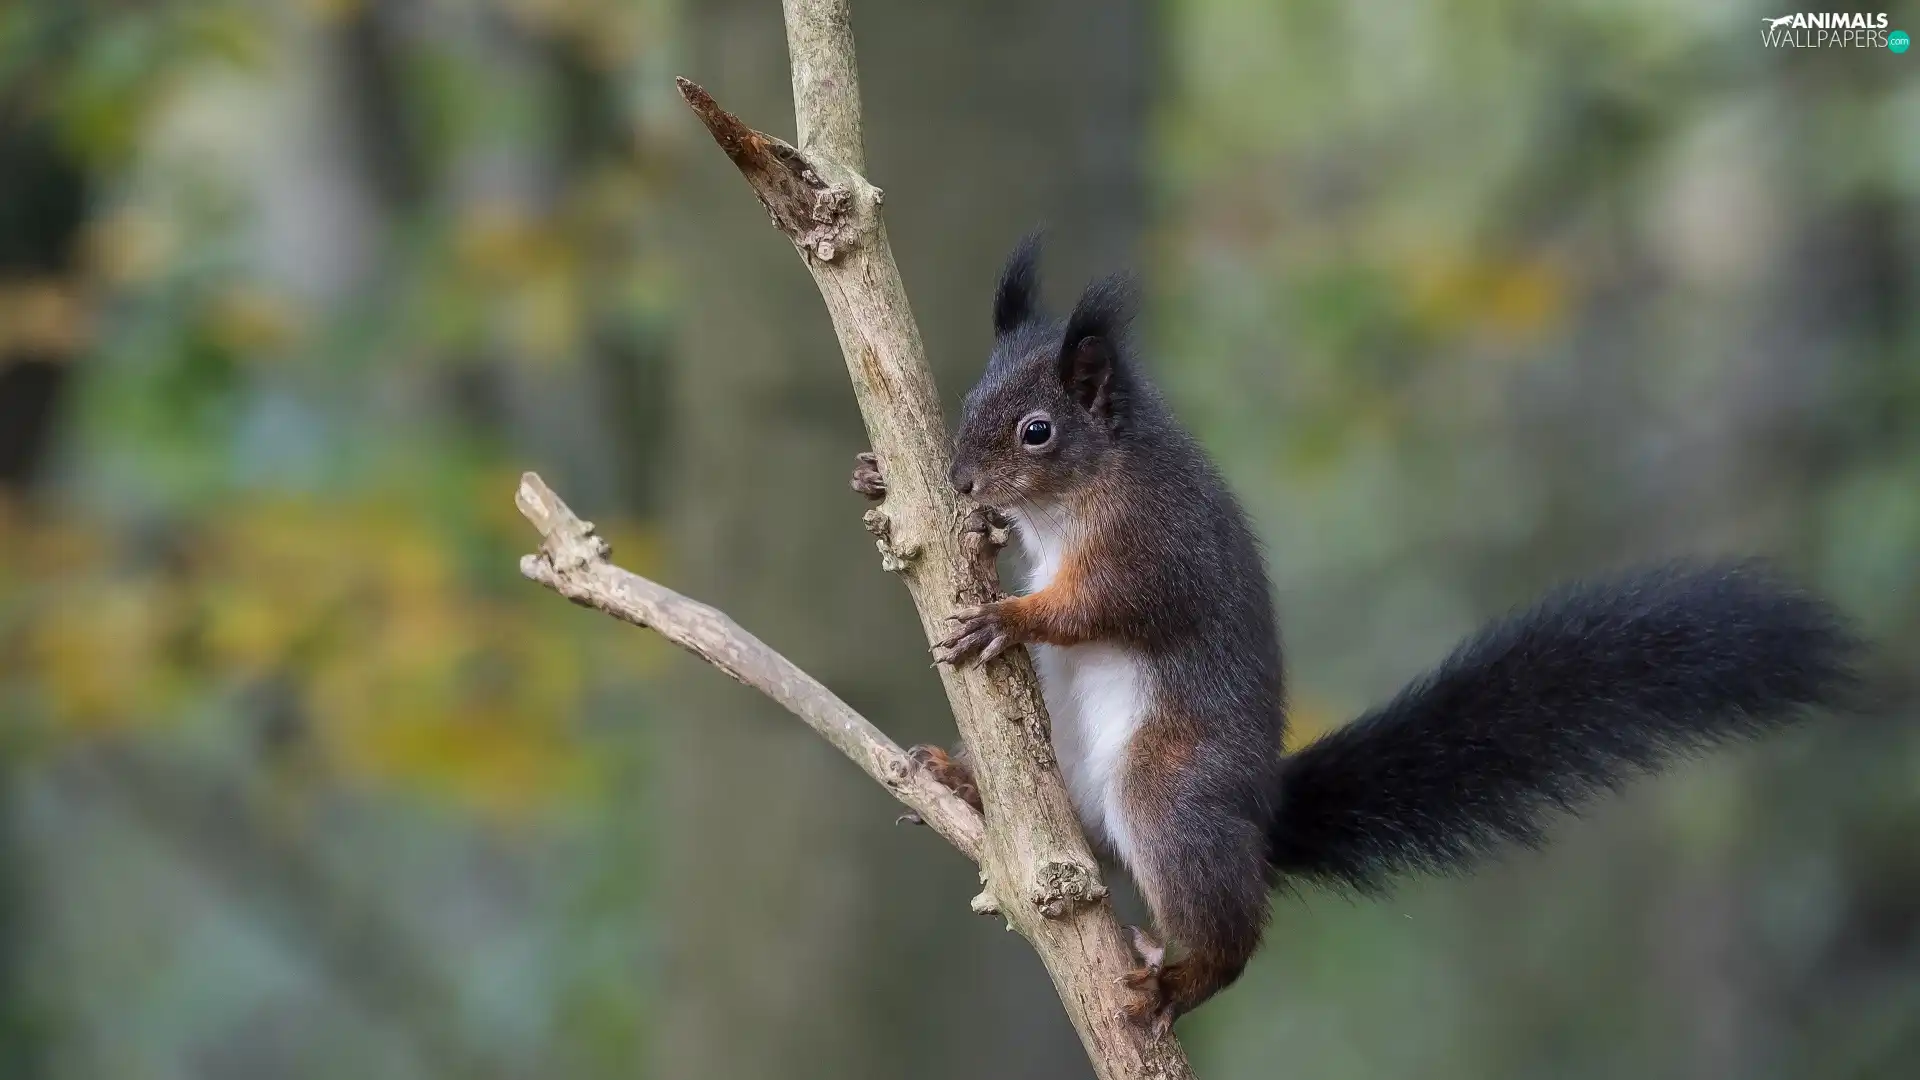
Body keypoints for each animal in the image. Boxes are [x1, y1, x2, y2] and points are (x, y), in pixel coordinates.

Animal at [844, 235, 1858, 1037]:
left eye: (1037, 431)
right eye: (968, 397)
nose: (959, 480)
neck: (1086, 490)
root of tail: (1260, 814)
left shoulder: (1157, 548)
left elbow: (1105, 605)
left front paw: (1009, 615)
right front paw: (877, 478)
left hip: (1172, 791)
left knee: (1231, 929)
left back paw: (1177, 981)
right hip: (1074, 786)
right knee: (1076, 837)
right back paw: (965, 783)